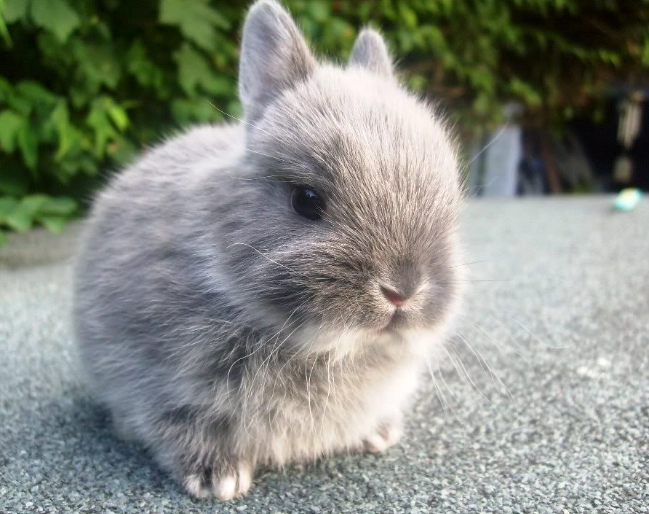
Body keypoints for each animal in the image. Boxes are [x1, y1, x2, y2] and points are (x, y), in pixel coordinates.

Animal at [72, 0, 464, 501]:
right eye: (306, 200)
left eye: (450, 202)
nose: (402, 291)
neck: (326, 347)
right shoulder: (157, 382)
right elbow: (176, 424)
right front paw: (217, 478)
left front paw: (380, 434)